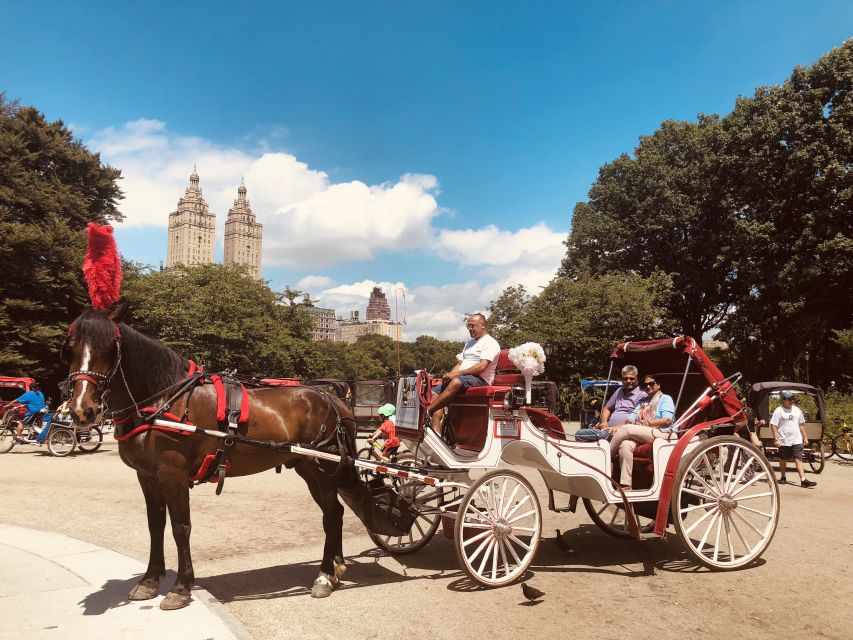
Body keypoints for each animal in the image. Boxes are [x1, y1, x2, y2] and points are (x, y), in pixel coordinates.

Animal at [65, 302, 402, 608]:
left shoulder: (173, 474)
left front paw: (181, 587)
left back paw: (323, 576)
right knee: (335, 513)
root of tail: (332, 398)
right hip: (307, 468)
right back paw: (334, 569)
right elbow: (155, 526)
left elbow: (180, 527)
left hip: (322, 469)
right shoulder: (147, 476)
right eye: (70, 347)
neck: (164, 399)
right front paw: (149, 581)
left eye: (111, 347)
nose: (83, 409)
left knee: (332, 515)